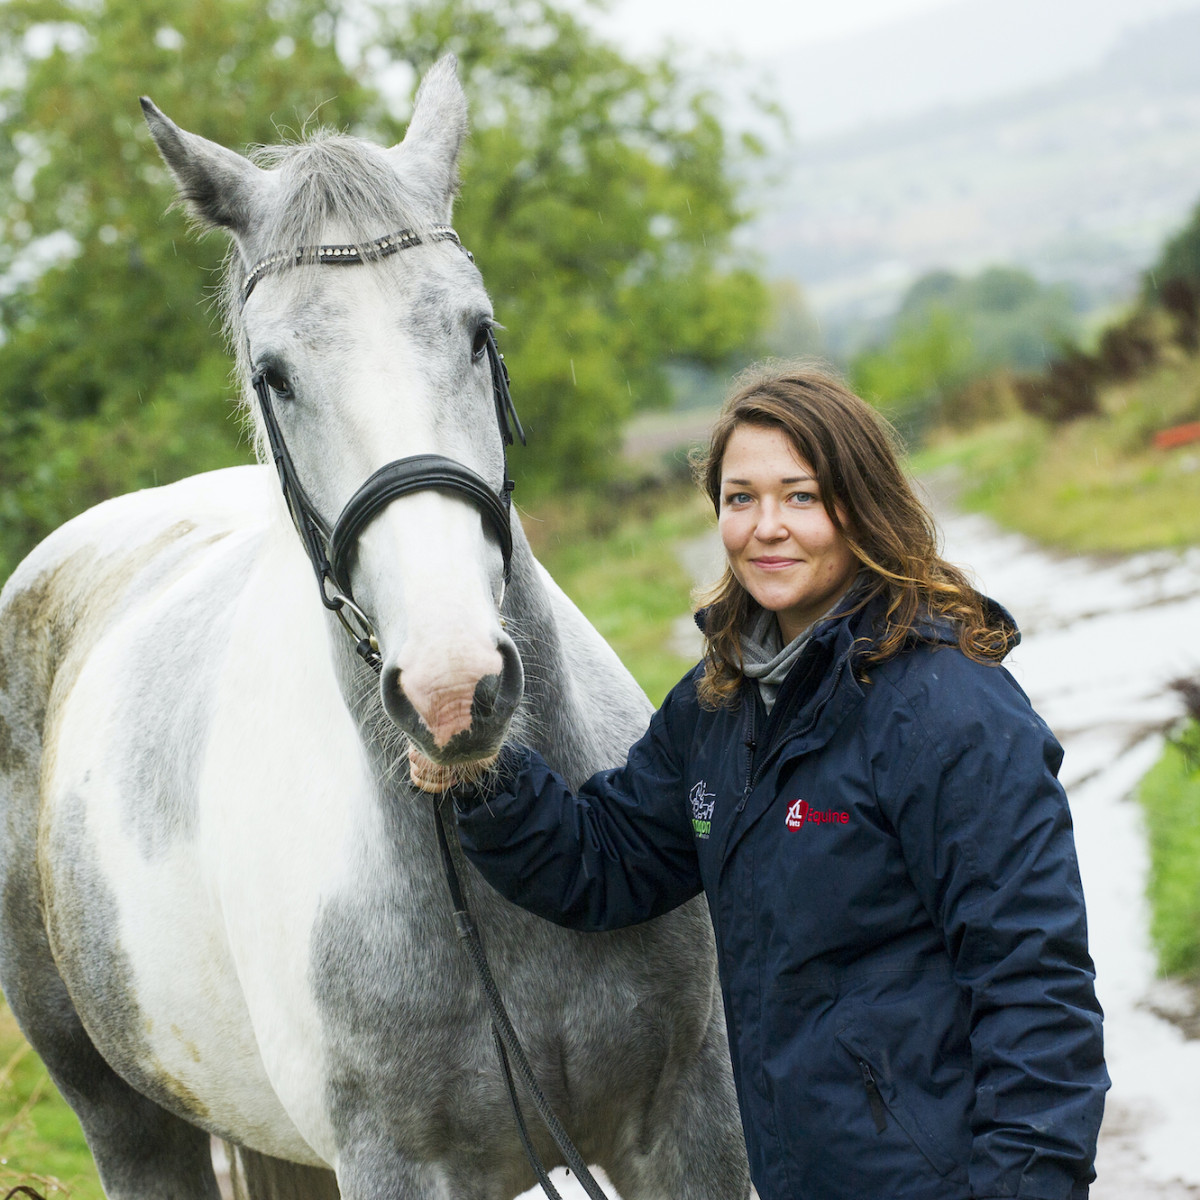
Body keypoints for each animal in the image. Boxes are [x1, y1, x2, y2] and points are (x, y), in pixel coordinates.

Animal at [0, 57, 750, 1200]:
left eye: (480, 333)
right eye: (274, 375)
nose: (452, 688)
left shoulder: (689, 1119)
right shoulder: (396, 1168)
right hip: (128, 1124)